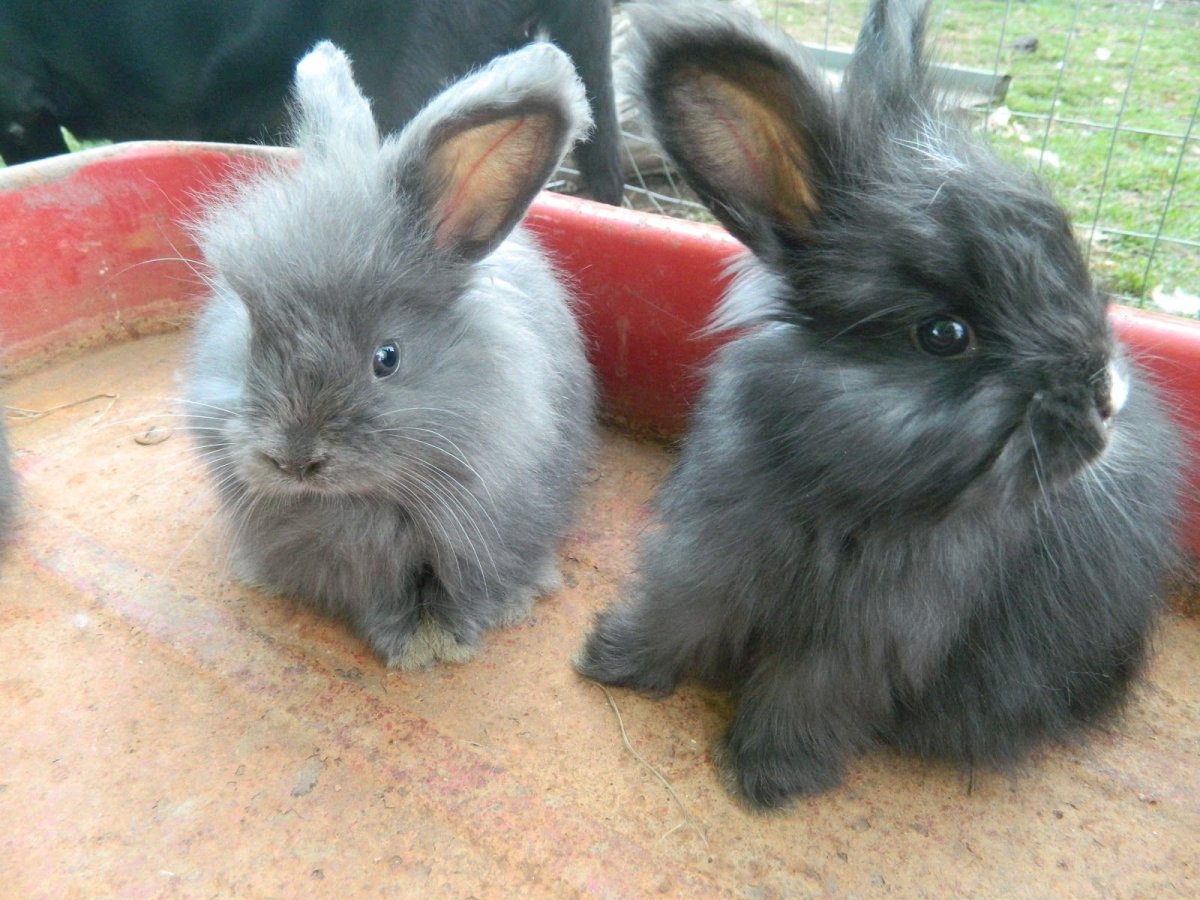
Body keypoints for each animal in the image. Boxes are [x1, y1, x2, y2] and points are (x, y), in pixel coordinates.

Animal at [185, 39, 596, 670]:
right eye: (253, 335)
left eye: (387, 357)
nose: (293, 460)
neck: (357, 505)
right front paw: (411, 645)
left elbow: (461, 592)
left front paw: (440, 643)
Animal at [576, 0, 1184, 808]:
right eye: (943, 334)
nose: (1107, 397)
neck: (848, 493)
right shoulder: (706, 560)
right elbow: (675, 615)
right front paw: (610, 662)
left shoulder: (871, 638)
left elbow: (807, 695)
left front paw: (770, 779)